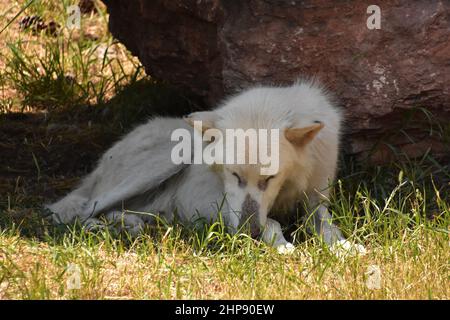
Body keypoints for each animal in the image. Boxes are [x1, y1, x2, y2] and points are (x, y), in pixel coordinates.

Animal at [46, 79, 362, 252]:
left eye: (270, 178)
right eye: (233, 175)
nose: (247, 232)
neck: (287, 188)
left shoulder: (315, 201)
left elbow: (327, 225)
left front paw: (345, 248)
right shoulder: (218, 205)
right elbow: (271, 221)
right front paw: (284, 247)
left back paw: (132, 224)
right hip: (171, 156)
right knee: (80, 209)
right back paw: (95, 228)